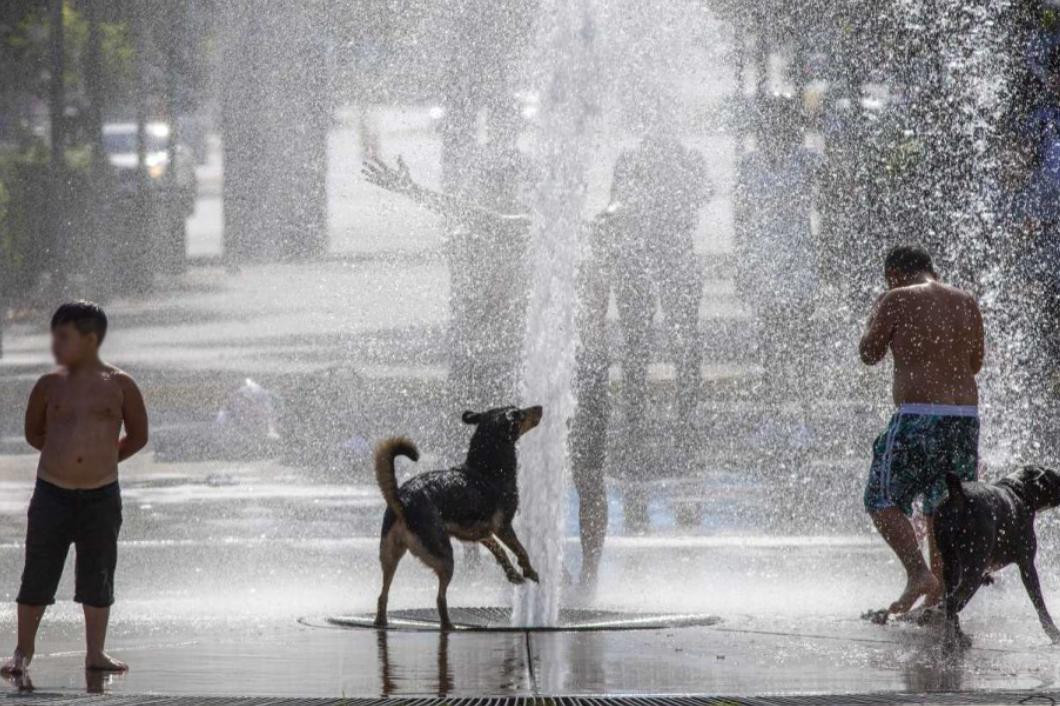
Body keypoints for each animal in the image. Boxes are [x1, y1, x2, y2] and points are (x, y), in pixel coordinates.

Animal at [373, 404, 542, 627]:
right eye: (520, 413)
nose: (540, 407)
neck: (487, 468)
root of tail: (403, 500)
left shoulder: (480, 533)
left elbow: (500, 551)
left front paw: (513, 574)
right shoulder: (503, 527)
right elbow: (521, 550)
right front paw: (530, 571)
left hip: (390, 556)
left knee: (383, 595)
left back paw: (381, 621)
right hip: (444, 556)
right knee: (439, 598)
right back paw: (448, 624)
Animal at [937, 464, 1060, 644]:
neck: (1020, 491)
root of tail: (958, 494)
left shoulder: (982, 572)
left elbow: (962, 602)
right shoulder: (1026, 565)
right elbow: (1039, 602)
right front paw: (1053, 633)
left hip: (951, 563)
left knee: (949, 598)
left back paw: (958, 634)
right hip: (973, 566)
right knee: (952, 600)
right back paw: (949, 642)